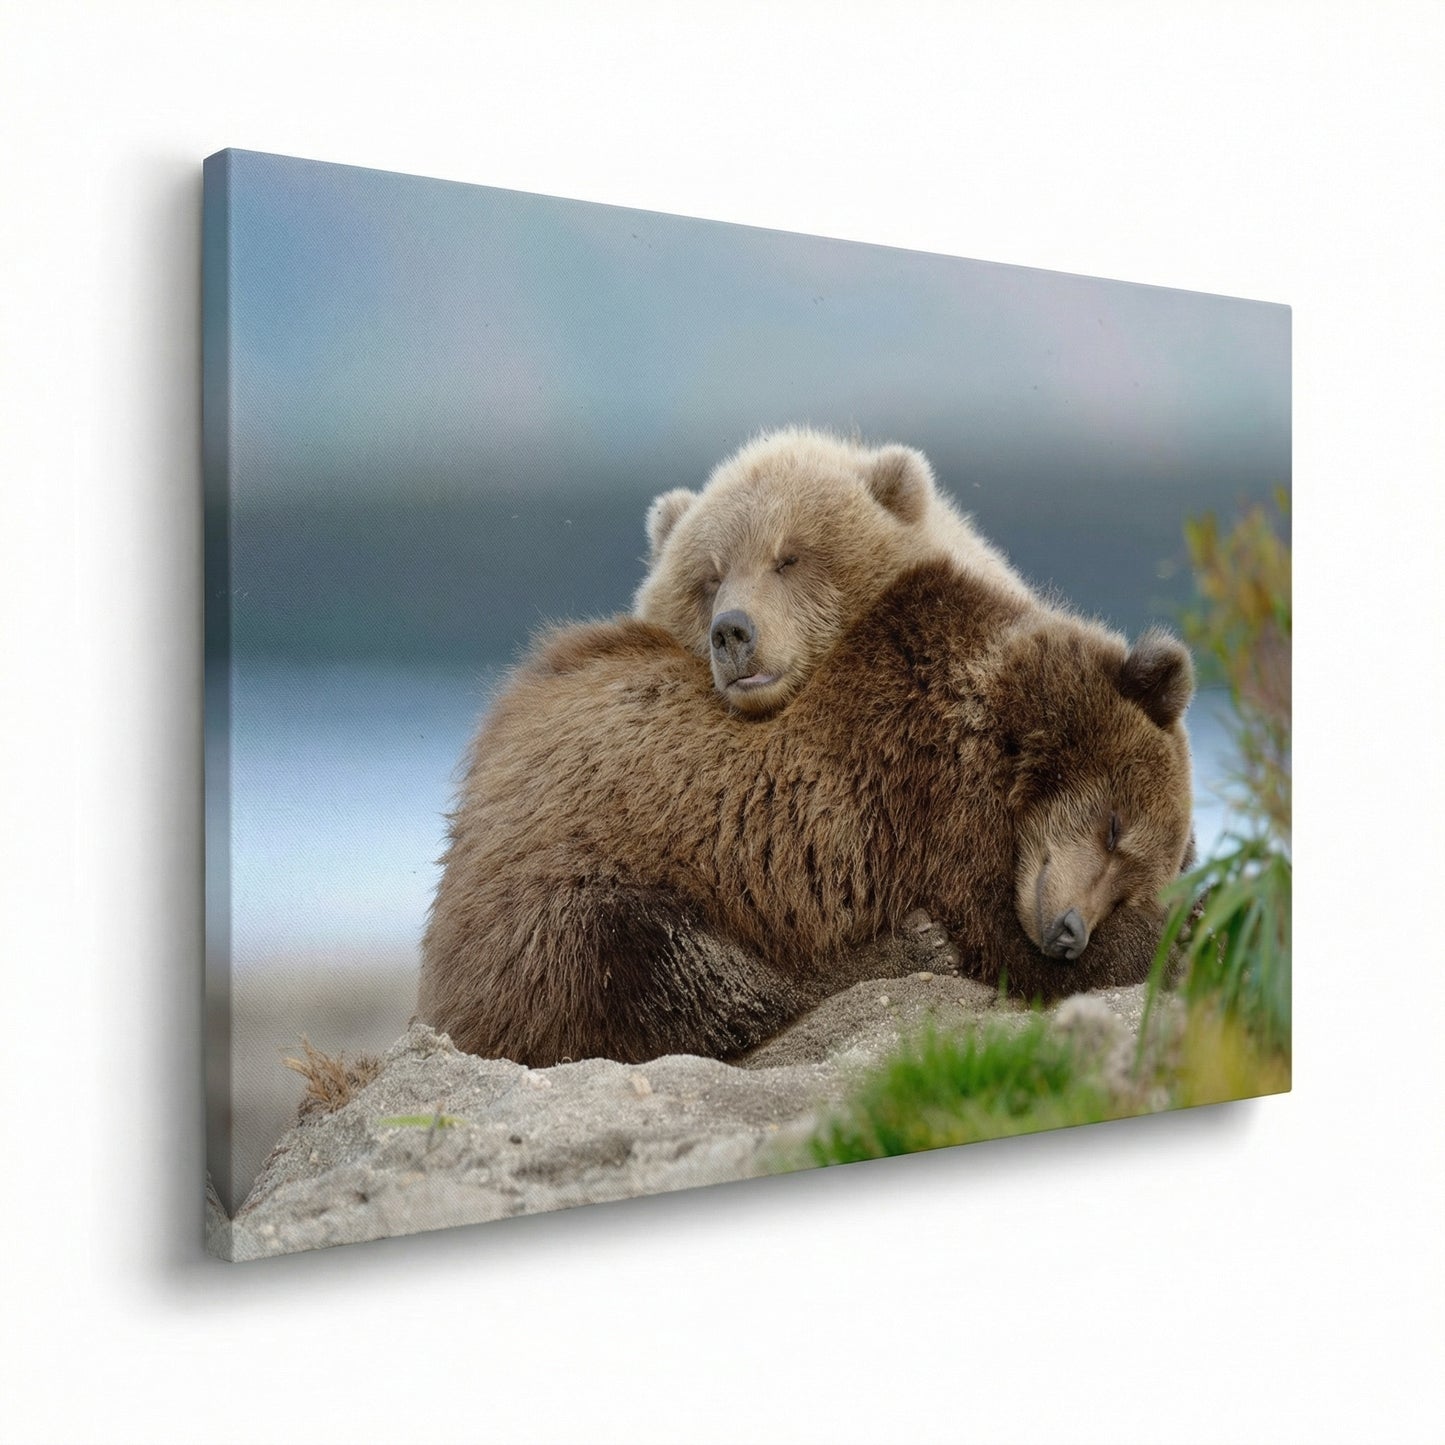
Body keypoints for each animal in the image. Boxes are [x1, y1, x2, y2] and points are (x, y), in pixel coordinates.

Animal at [419, 558, 1195, 1067]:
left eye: (1128, 879)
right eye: (1114, 828)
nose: (1068, 931)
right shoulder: (930, 799)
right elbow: (999, 937)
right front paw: (1182, 934)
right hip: (559, 882)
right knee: (656, 966)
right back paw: (907, 948)